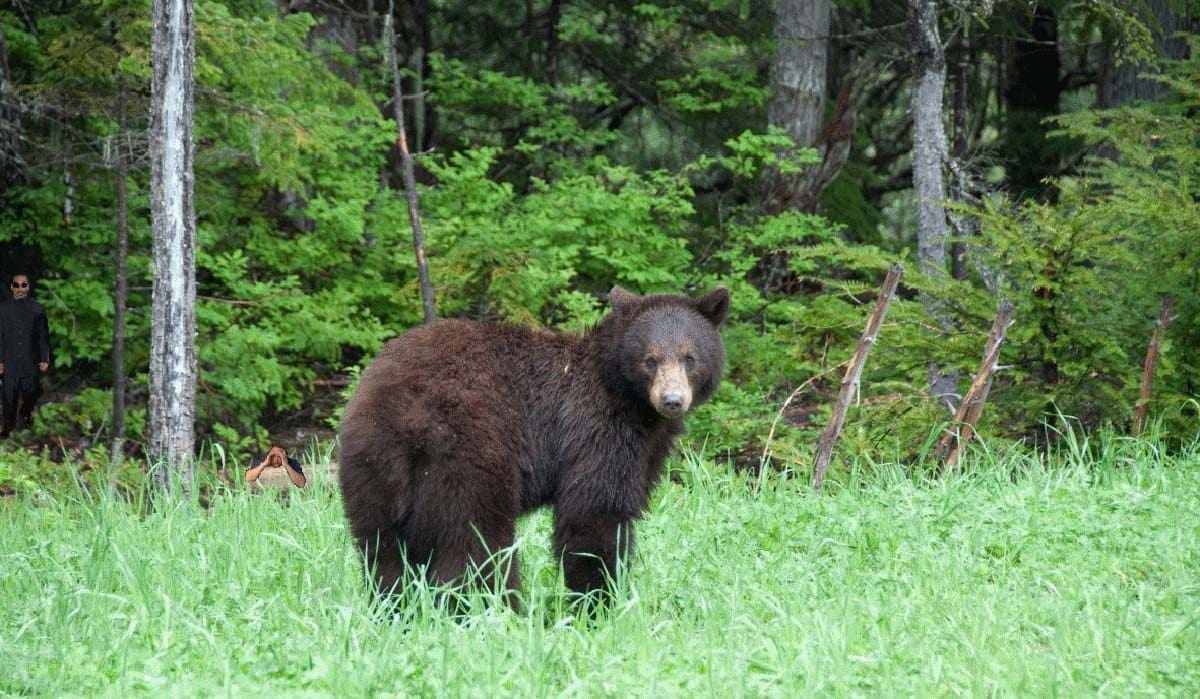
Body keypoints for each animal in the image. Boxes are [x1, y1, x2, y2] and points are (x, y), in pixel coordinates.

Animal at [337, 285, 730, 607]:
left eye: (689, 357)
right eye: (650, 359)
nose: (672, 400)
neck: (628, 397)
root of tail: (403, 413)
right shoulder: (596, 429)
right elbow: (594, 513)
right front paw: (596, 602)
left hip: (371, 468)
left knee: (382, 550)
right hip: (467, 453)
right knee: (476, 544)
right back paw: (494, 610)